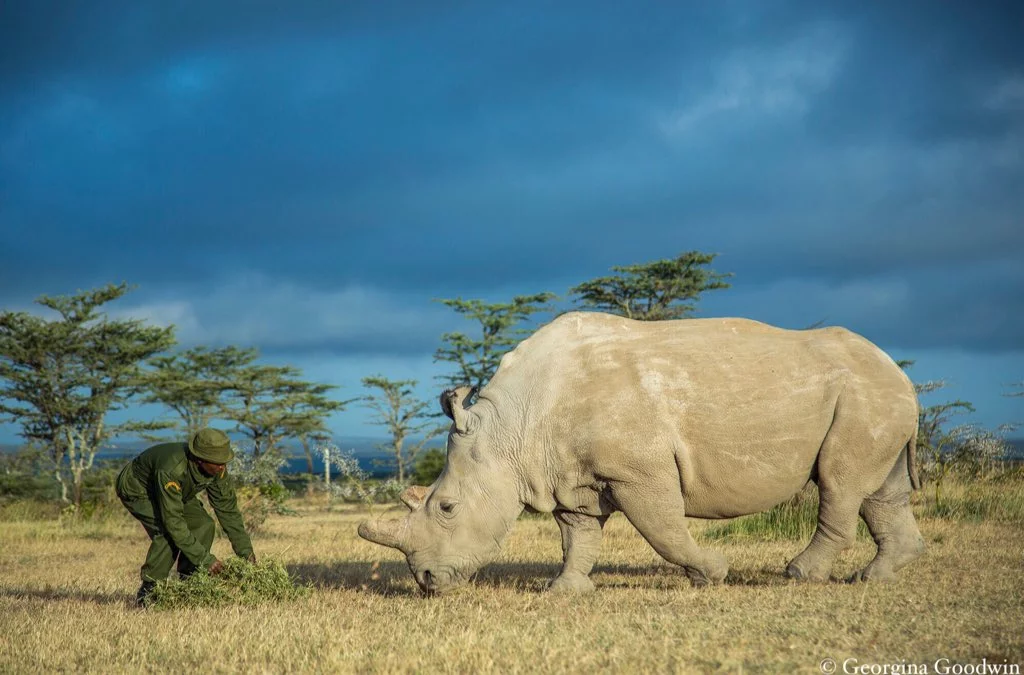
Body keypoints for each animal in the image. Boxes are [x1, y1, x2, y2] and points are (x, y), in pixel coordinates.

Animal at [359, 312, 925, 593]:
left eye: (446, 507)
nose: (426, 583)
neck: (510, 429)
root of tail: (897, 370)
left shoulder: (638, 472)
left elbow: (664, 530)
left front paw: (710, 575)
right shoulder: (567, 475)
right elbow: (578, 536)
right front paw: (564, 591)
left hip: (863, 395)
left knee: (839, 482)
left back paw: (801, 577)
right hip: (873, 396)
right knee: (880, 491)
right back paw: (875, 578)